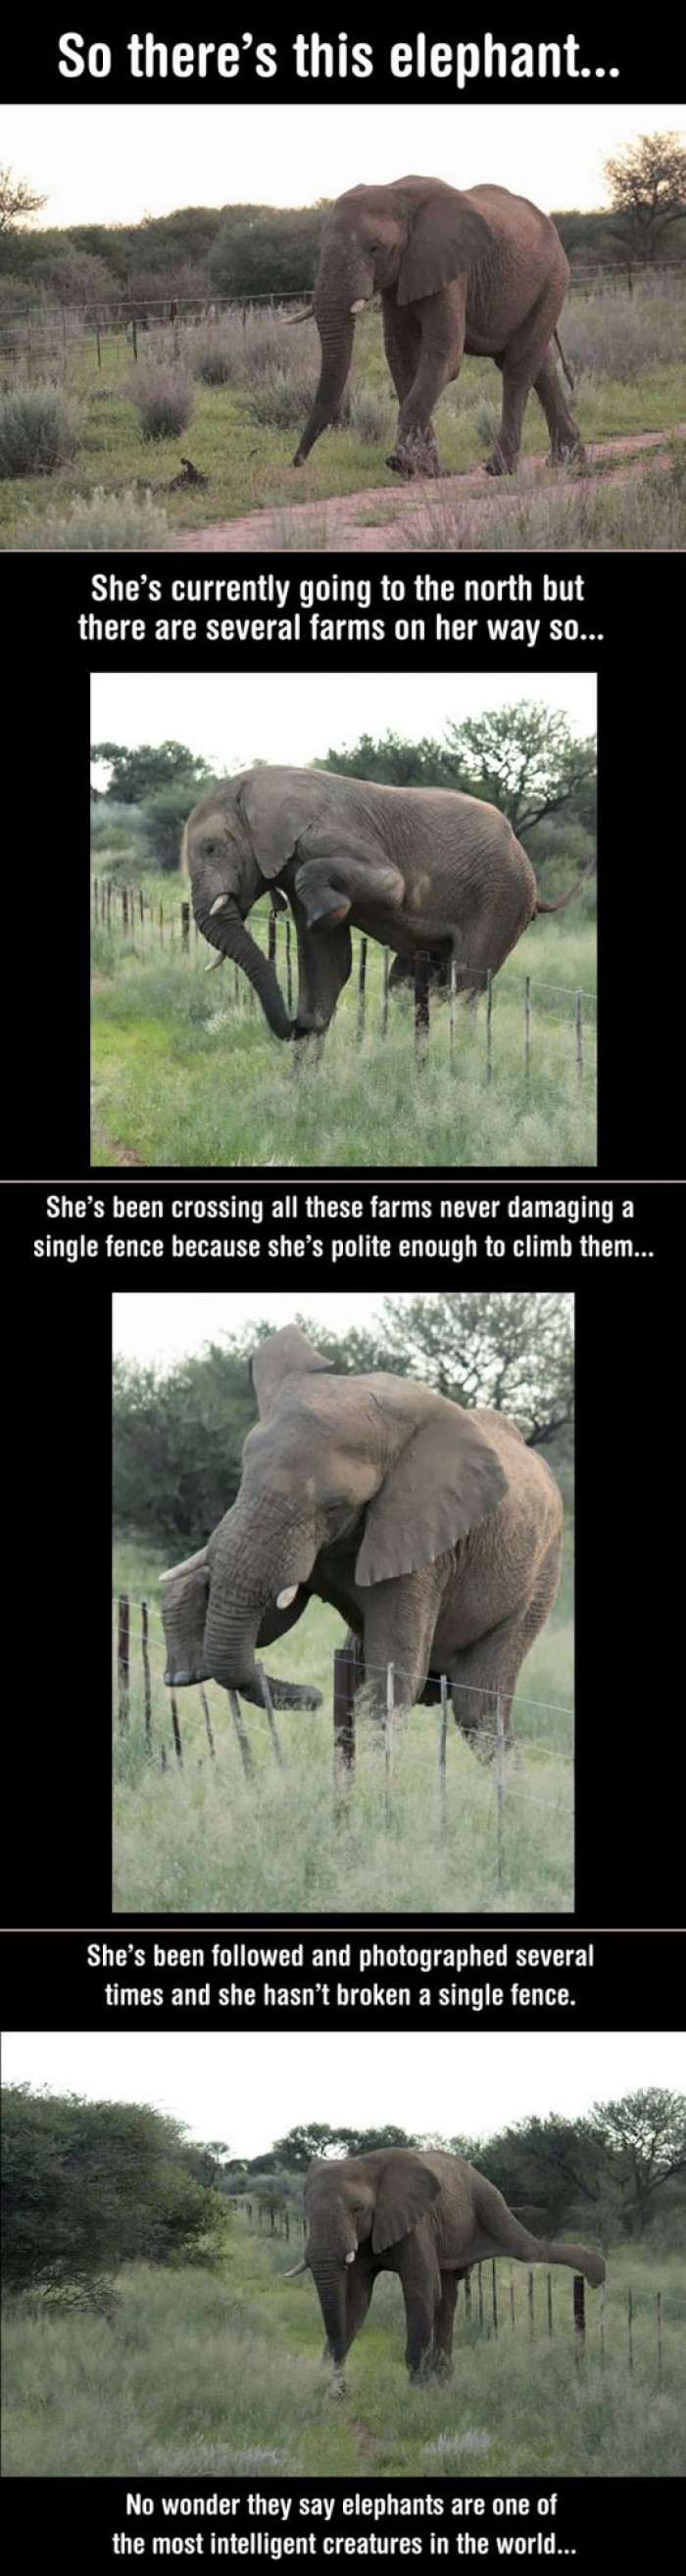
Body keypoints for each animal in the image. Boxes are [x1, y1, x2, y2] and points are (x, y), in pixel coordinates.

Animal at [159, 1323, 563, 1748]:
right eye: (243, 1475)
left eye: (336, 1505)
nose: (314, 1696)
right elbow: (268, 1622)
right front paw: (183, 1672)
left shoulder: (421, 1541)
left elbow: (392, 1677)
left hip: (539, 1579)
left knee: (479, 1711)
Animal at [183, 762, 591, 1042]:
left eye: (211, 848)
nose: (297, 1026)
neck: (254, 789)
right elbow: (327, 964)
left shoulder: (327, 837)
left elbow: (391, 885)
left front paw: (327, 914)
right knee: (406, 985)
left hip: (501, 900)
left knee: (465, 985)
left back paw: (461, 1059)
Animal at [287, 2148, 605, 2381]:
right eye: (306, 2211)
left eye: (357, 2209)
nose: (340, 2386)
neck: (367, 2164)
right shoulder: (369, 2235)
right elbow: (356, 2299)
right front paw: (331, 2388)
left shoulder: (416, 2223)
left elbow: (420, 2291)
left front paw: (417, 2392)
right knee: (449, 2295)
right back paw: (443, 2378)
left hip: (487, 2201)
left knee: (526, 2249)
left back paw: (596, 2272)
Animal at [289, 176, 584, 479]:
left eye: (375, 249)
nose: (298, 461)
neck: (396, 194)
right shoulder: (401, 276)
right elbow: (401, 356)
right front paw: (425, 470)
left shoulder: (450, 269)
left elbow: (445, 354)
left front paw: (401, 463)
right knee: (540, 365)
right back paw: (566, 461)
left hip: (553, 280)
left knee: (518, 364)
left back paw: (500, 468)